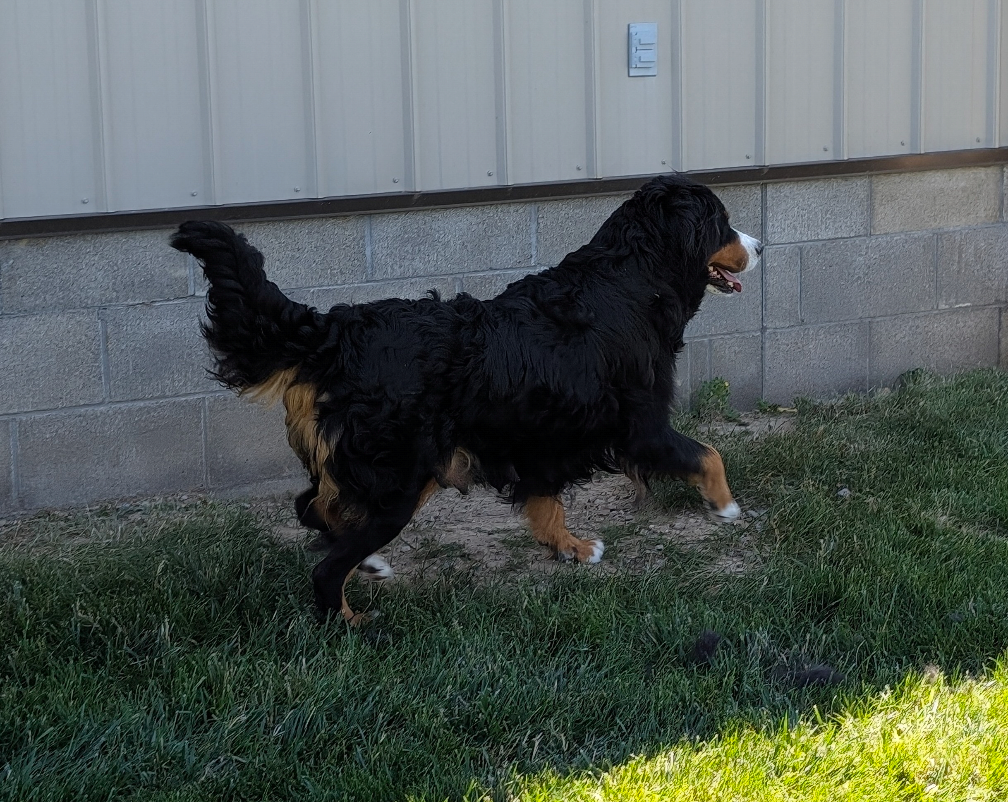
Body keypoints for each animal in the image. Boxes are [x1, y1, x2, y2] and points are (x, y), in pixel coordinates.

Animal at [171, 175, 758, 624]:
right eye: (723, 223)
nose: (757, 246)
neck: (630, 279)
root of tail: (340, 330)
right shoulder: (642, 423)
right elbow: (709, 454)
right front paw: (727, 506)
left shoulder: (542, 438)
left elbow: (546, 503)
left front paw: (569, 546)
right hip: (401, 480)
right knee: (326, 564)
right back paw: (352, 622)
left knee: (314, 508)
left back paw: (369, 565)